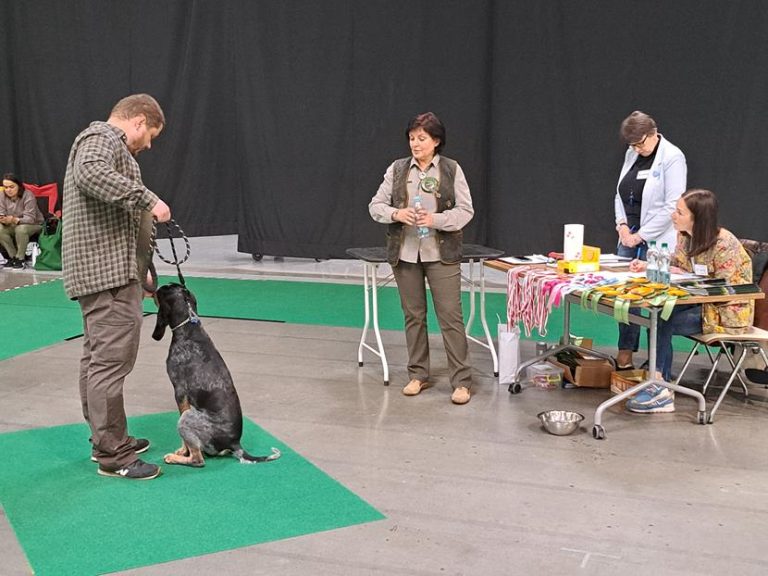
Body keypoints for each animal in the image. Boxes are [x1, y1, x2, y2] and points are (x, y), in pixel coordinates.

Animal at [152, 284, 280, 468]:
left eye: (164, 289)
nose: (154, 289)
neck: (189, 329)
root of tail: (235, 444)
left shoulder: (180, 392)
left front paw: (182, 451)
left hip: (187, 418)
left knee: (198, 460)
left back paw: (175, 458)